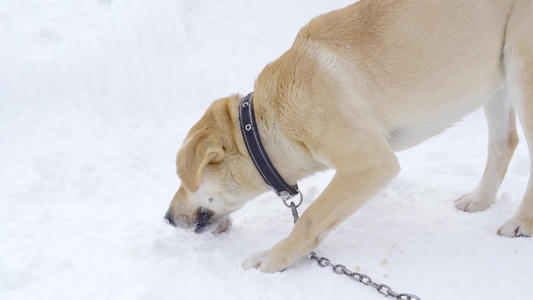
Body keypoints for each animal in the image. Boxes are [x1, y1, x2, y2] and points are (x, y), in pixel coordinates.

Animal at [164, 0, 532, 272]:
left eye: (184, 178)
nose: (167, 218)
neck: (270, 123)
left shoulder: (370, 163)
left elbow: (310, 218)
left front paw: (274, 258)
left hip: (520, 67)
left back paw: (521, 222)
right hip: (493, 79)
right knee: (505, 142)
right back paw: (480, 199)